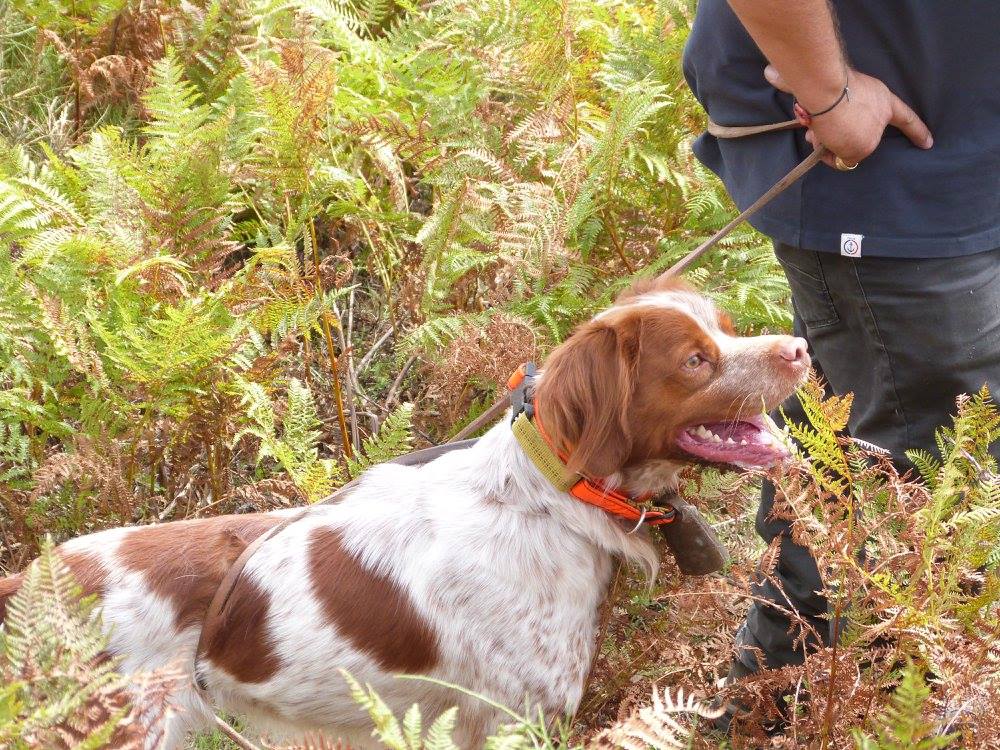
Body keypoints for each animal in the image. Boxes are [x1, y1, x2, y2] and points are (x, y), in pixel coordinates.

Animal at [0, 278, 809, 748]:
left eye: (727, 327)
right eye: (696, 361)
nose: (799, 348)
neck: (548, 502)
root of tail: (29, 584)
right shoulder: (515, 720)